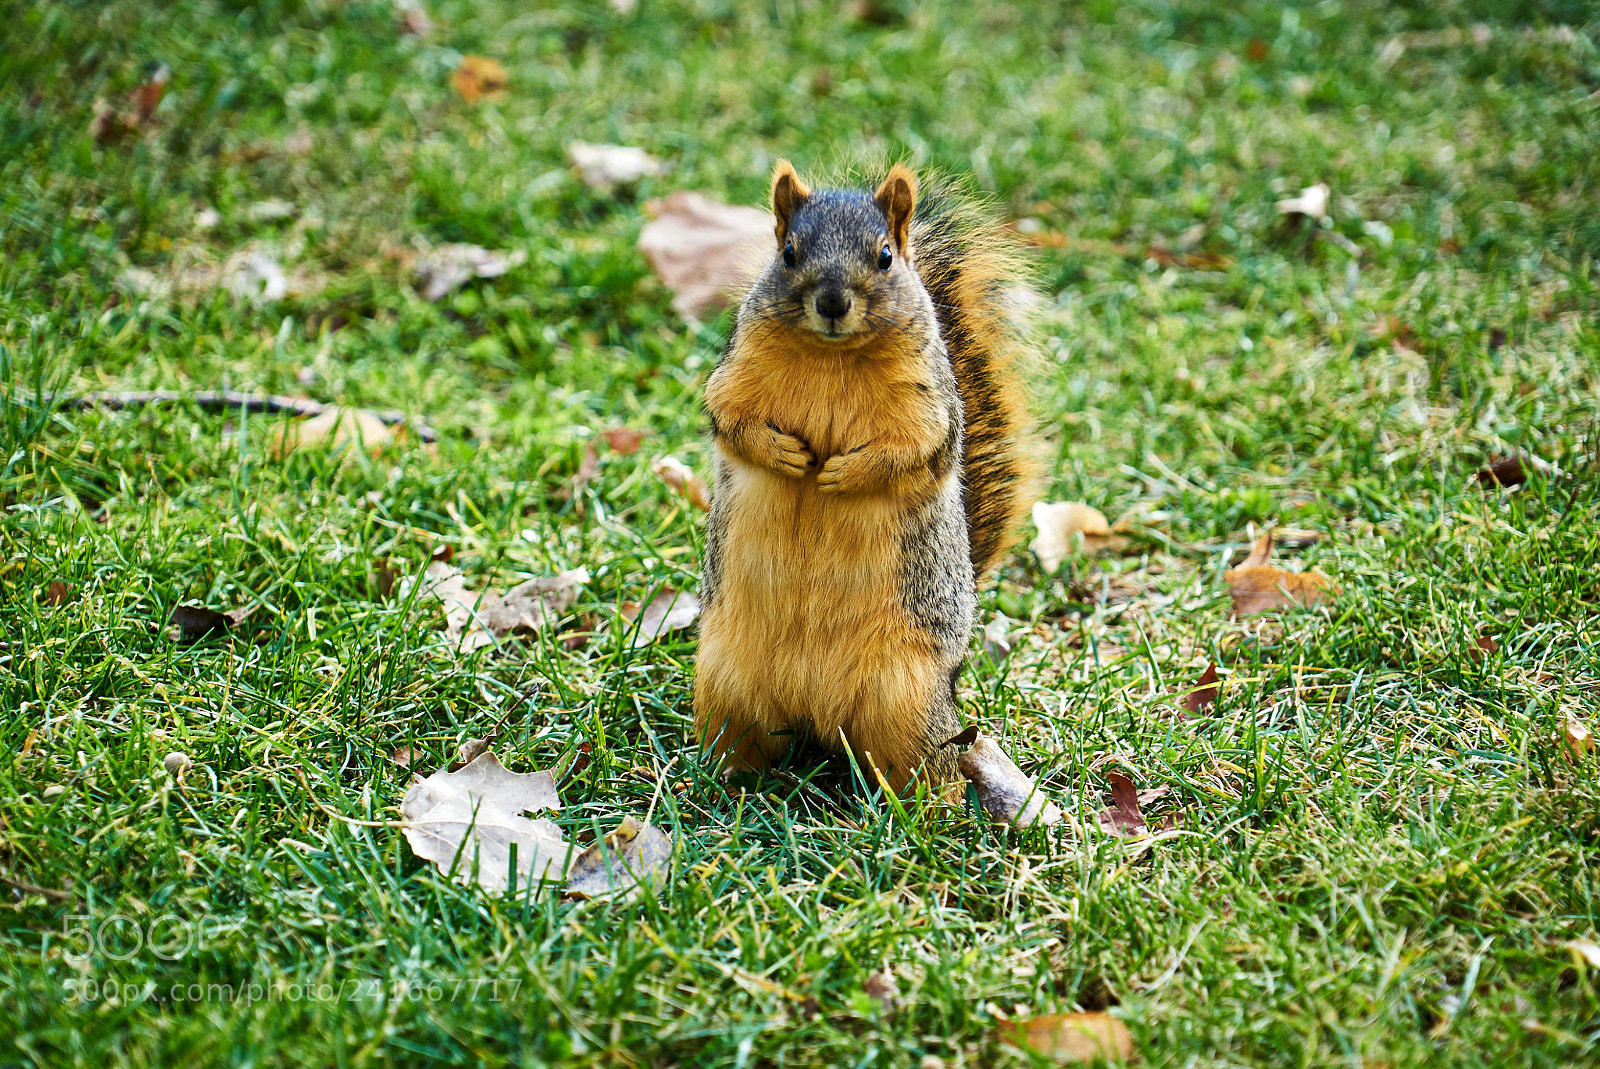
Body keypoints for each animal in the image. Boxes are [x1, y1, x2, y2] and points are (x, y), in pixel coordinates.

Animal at [693, 160, 1035, 795]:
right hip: (724, 684)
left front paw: (841, 474)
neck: (832, 356)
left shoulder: (928, 404)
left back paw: (932, 806)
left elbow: (913, 452)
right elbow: (730, 422)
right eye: (788, 253)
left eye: (884, 257)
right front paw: (787, 456)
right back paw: (721, 780)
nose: (831, 301)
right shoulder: (734, 374)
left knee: (924, 761)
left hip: (907, 701)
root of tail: (813, 714)